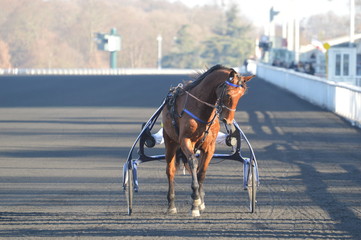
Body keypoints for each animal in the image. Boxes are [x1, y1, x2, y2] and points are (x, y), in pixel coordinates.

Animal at [160, 64, 253, 217]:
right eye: (228, 94)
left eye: (241, 95)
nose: (228, 120)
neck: (200, 109)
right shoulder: (185, 140)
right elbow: (193, 162)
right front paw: (195, 202)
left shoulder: (209, 146)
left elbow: (201, 172)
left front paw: (199, 202)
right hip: (170, 142)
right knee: (170, 170)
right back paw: (171, 205)